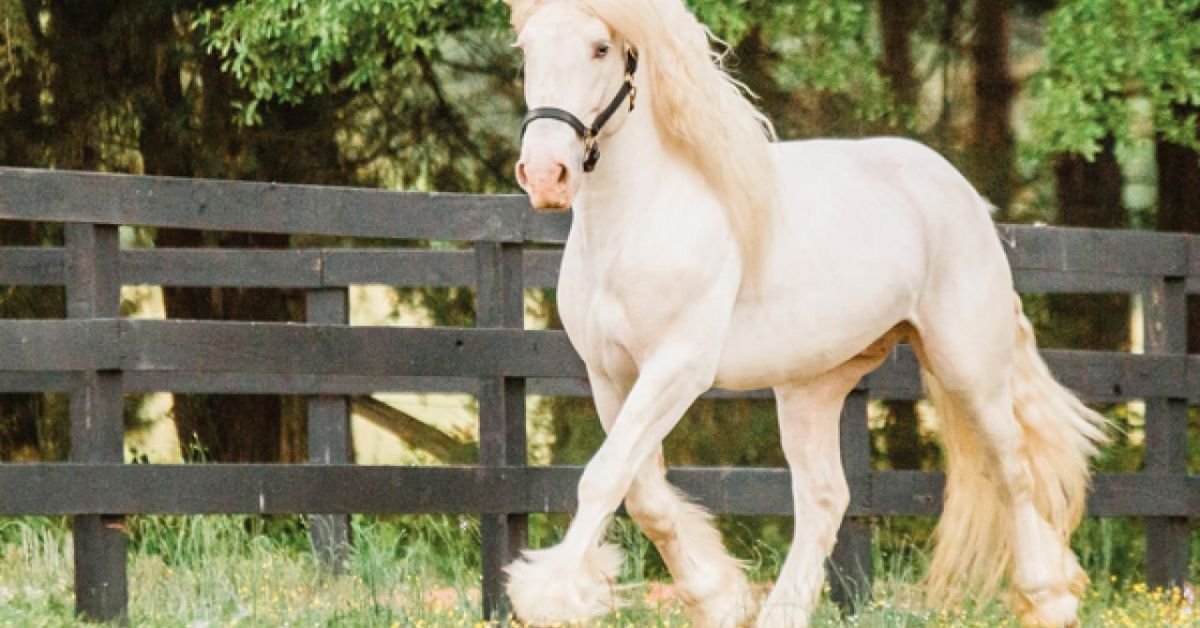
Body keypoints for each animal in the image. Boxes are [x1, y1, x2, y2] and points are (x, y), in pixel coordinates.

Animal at [499, 2, 1104, 624]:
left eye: (600, 48)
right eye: (525, 48)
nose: (546, 175)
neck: (640, 219)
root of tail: (964, 194)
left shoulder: (677, 368)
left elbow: (604, 478)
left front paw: (549, 596)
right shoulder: (609, 376)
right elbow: (642, 494)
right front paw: (718, 598)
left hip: (968, 367)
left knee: (1012, 468)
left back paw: (1048, 599)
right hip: (812, 386)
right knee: (825, 497)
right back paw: (781, 611)